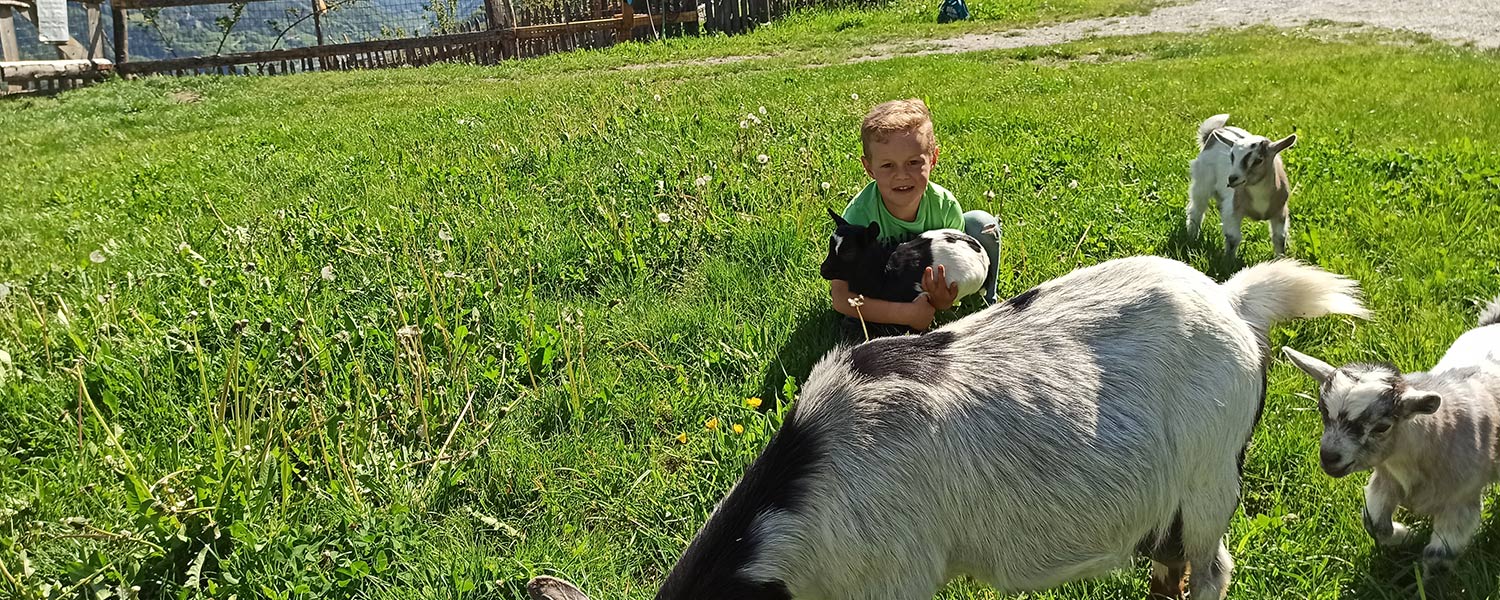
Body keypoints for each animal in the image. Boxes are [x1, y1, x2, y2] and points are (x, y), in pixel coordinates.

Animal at [1278, 295, 1500, 576]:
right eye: (1322, 410)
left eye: (1382, 427)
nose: (1329, 457)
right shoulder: (1384, 482)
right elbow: (1376, 526)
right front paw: (1408, 535)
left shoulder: (1461, 501)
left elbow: (1437, 558)